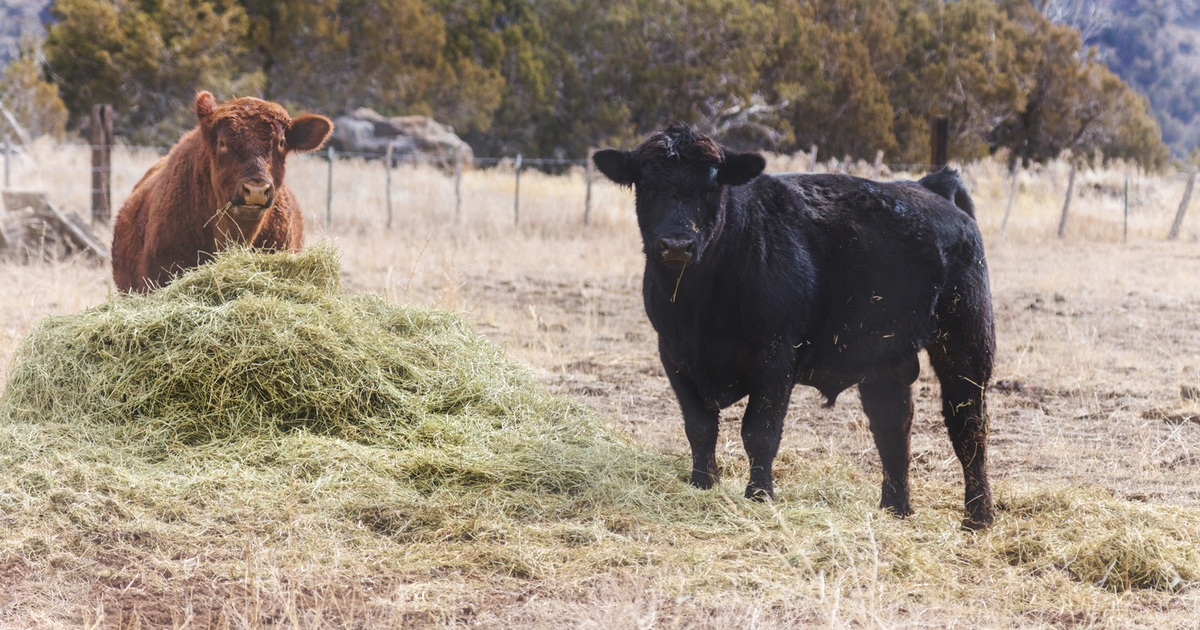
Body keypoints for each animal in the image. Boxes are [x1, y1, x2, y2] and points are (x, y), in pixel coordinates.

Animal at [593, 124, 997, 529]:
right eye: (648, 186)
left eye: (710, 186)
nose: (678, 244)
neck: (700, 306)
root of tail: (930, 186)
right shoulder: (674, 355)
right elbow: (700, 427)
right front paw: (702, 485)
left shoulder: (775, 357)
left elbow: (760, 432)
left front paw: (759, 496)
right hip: (883, 357)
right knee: (893, 426)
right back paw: (895, 507)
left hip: (965, 340)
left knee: (968, 426)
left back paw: (978, 515)